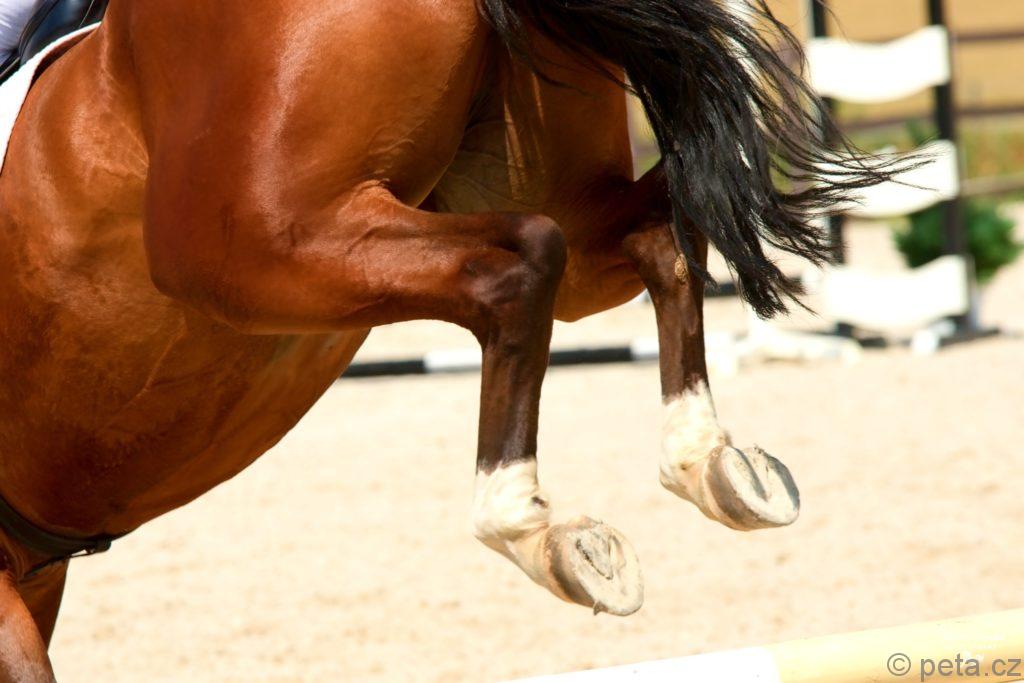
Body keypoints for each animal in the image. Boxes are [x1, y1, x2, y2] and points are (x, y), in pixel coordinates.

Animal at [0, 0, 895, 677]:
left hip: (252, 242)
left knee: (519, 266)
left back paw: (533, 528)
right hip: (537, 190)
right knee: (649, 232)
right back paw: (712, 464)